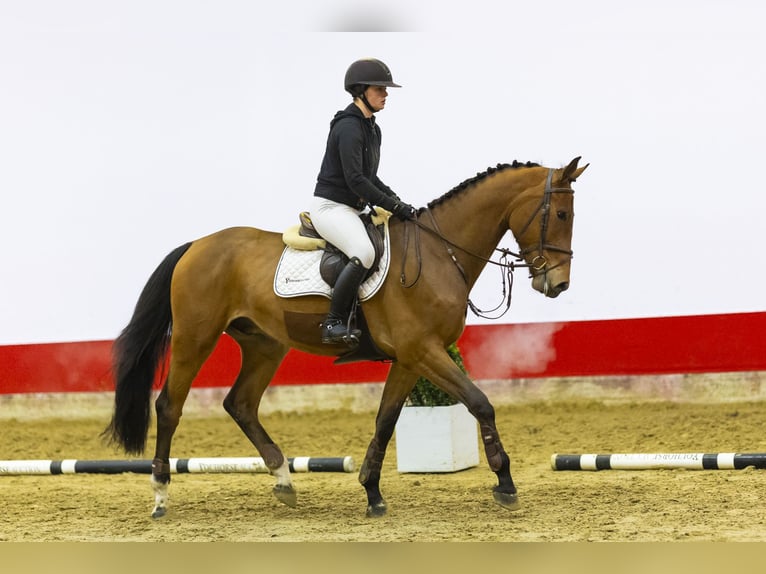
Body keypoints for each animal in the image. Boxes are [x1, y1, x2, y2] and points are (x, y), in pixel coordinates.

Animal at [105, 155, 592, 520]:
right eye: (561, 214)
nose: (558, 284)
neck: (439, 252)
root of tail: (196, 245)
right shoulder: (424, 351)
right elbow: (480, 403)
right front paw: (505, 484)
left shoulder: (410, 358)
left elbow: (385, 420)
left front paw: (372, 493)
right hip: (196, 337)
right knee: (170, 406)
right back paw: (160, 494)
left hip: (265, 344)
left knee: (240, 404)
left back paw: (284, 480)